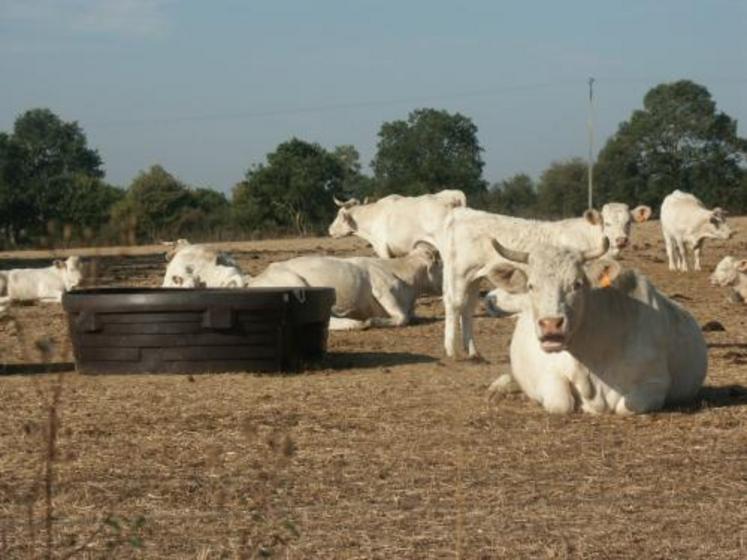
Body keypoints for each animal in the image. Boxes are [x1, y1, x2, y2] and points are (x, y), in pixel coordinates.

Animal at [248, 242, 442, 328]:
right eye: (442, 264)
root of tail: (254, 280)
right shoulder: (383, 288)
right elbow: (401, 318)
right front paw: (374, 321)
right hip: (296, 284)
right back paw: (355, 323)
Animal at [486, 240, 708, 416]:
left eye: (577, 284)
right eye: (531, 286)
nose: (551, 324)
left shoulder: (656, 382)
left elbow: (626, 406)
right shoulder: (549, 374)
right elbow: (561, 404)